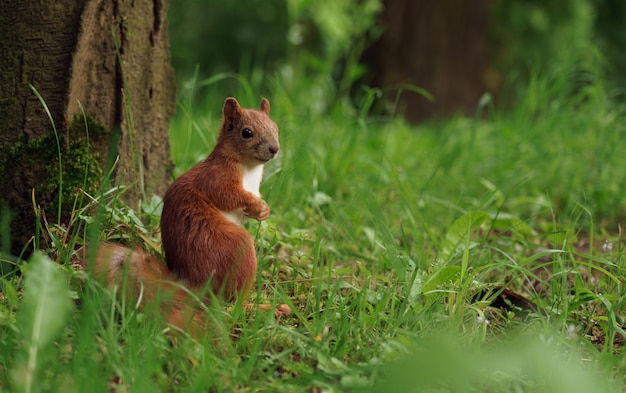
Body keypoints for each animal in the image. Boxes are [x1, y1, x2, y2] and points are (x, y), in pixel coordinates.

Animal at [89, 96, 288, 332]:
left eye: (276, 127)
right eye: (246, 132)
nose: (274, 149)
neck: (249, 169)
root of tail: (195, 286)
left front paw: (263, 210)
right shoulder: (216, 178)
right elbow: (227, 195)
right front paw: (255, 205)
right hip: (235, 247)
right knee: (229, 304)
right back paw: (255, 308)